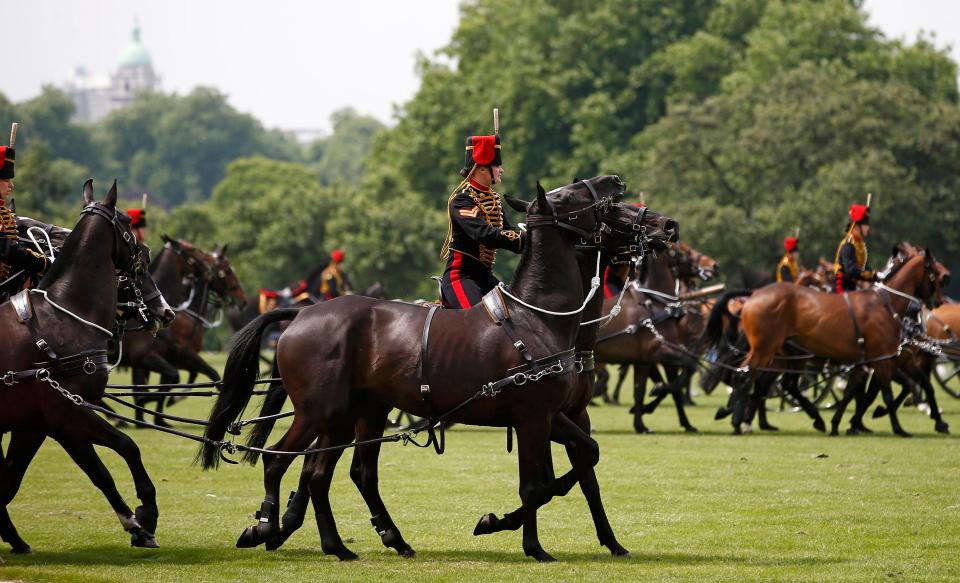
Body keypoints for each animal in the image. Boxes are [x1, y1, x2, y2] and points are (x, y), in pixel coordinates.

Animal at [0, 179, 174, 560]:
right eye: (140, 248)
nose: (166, 313)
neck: (63, 315)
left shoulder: (37, 426)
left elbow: (10, 481)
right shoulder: (67, 417)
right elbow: (122, 452)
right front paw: (143, 517)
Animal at [196, 177, 676, 560]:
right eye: (579, 193)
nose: (667, 225)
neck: (542, 317)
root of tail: (301, 314)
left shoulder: (561, 416)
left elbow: (581, 466)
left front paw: (604, 540)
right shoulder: (534, 418)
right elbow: (536, 485)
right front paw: (526, 542)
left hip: (355, 414)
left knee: (328, 473)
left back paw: (351, 543)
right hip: (320, 413)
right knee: (279, 460)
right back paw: (268, 527)